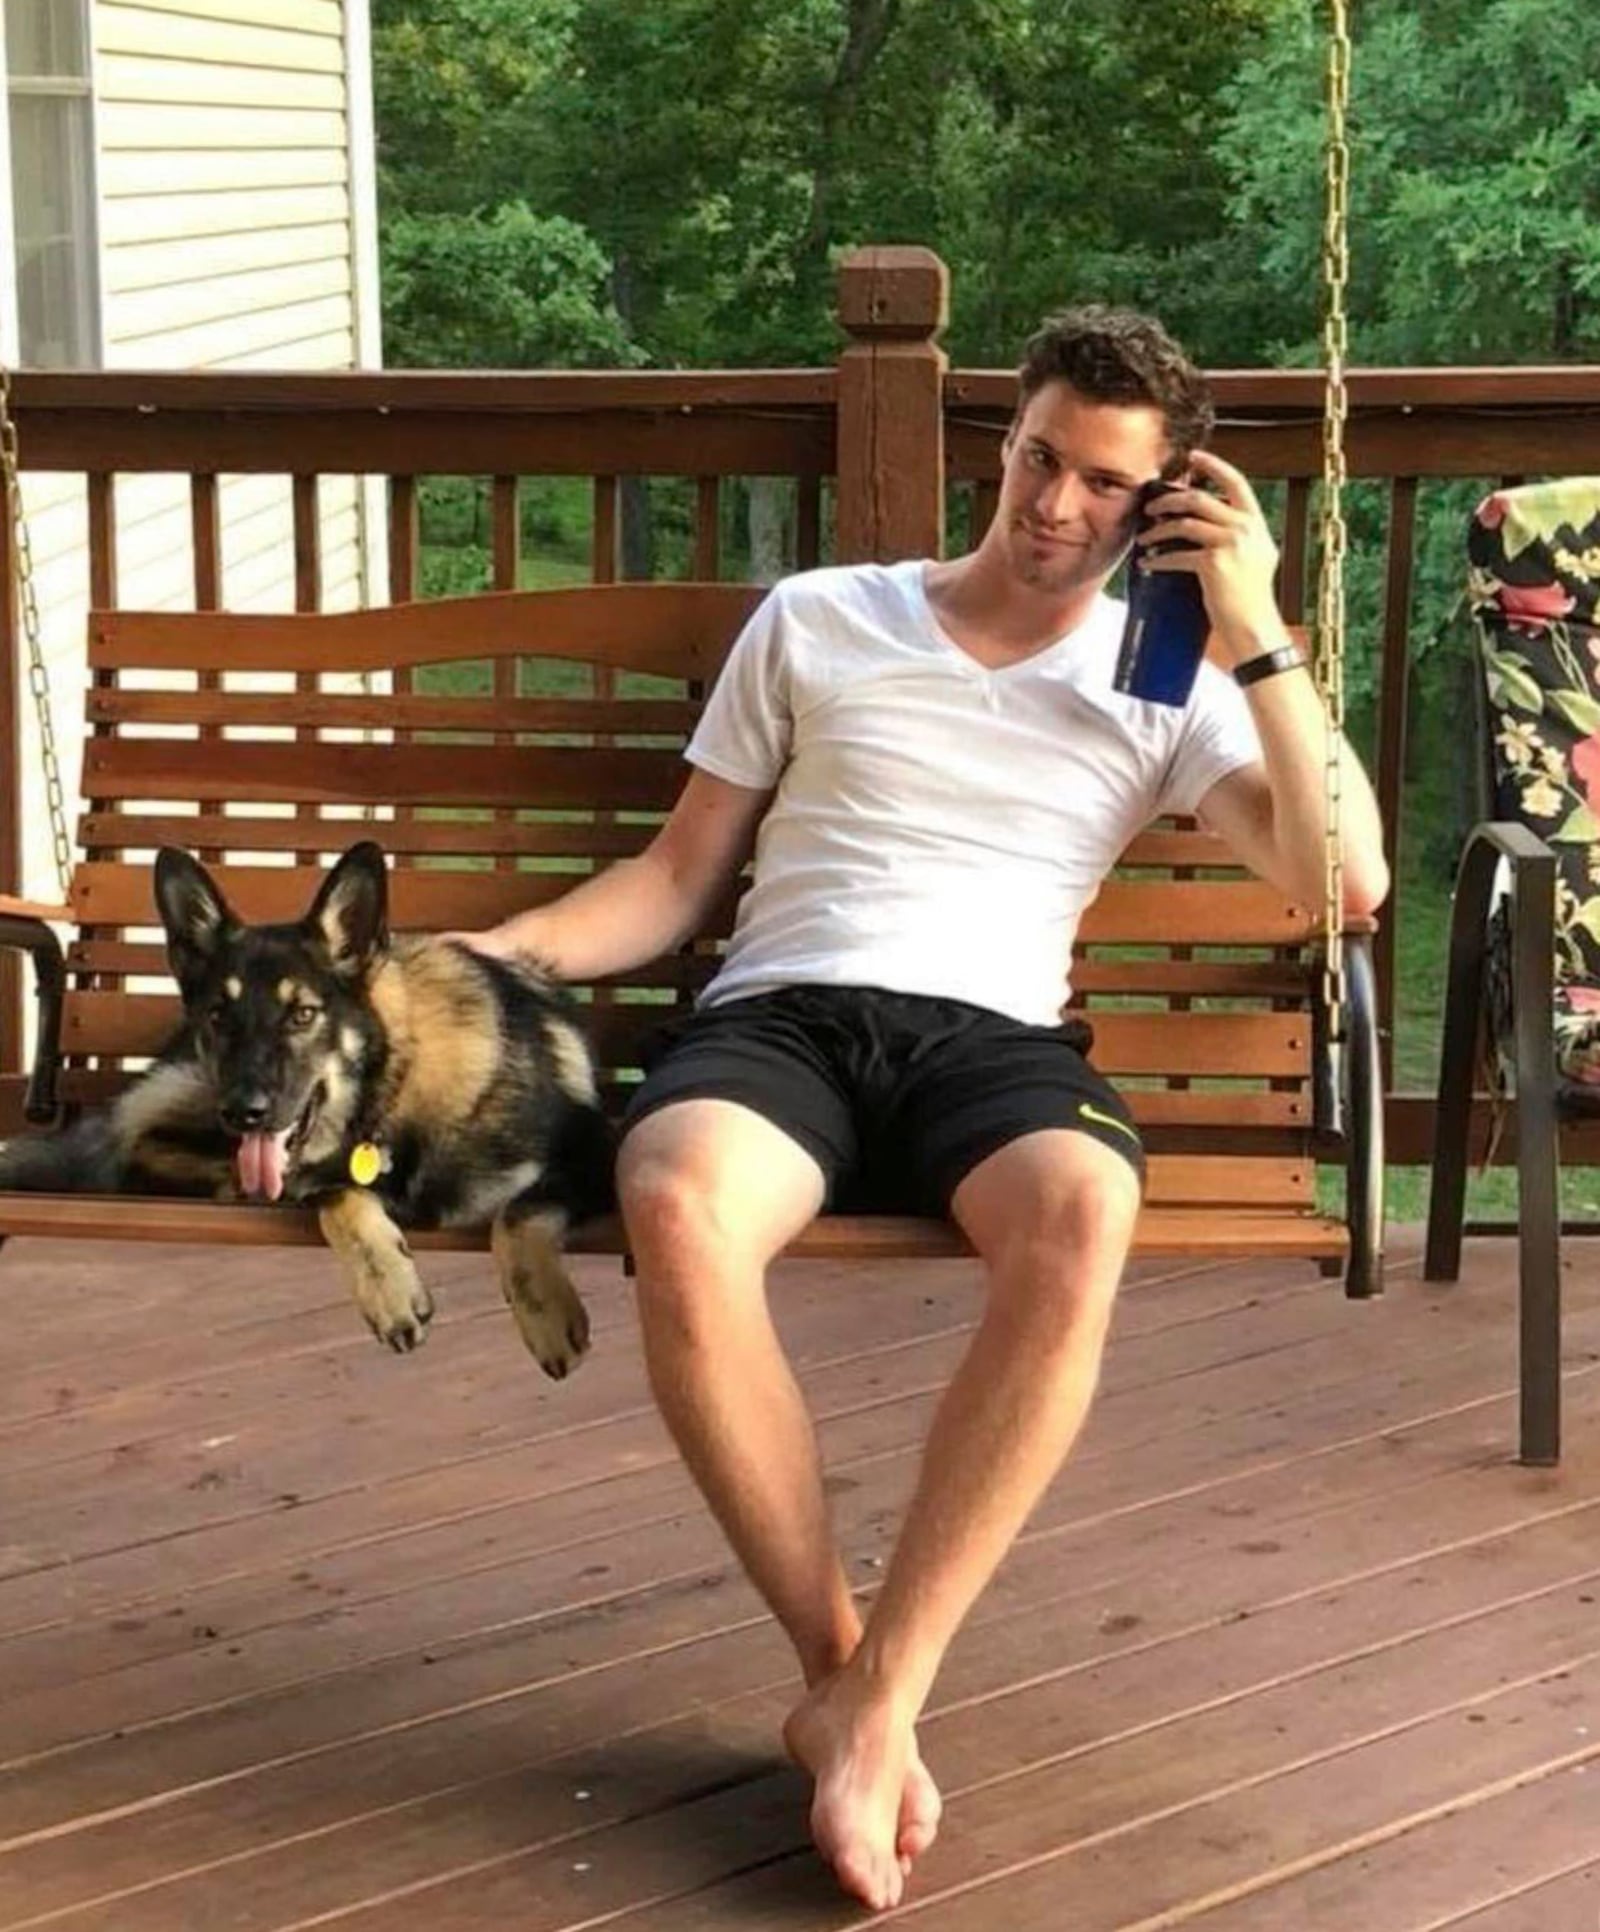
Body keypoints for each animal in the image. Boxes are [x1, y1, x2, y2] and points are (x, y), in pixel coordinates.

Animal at [0, 846, 610, 1375]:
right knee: (143, 1145)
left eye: (302, 1015)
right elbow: (338, 1196)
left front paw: (547, 1315)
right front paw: (388, 1287)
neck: (391, 1091)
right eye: (219, 1014)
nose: (244, 1113)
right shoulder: (311, 1173)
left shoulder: (589, 1158)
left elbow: (518, 1214)